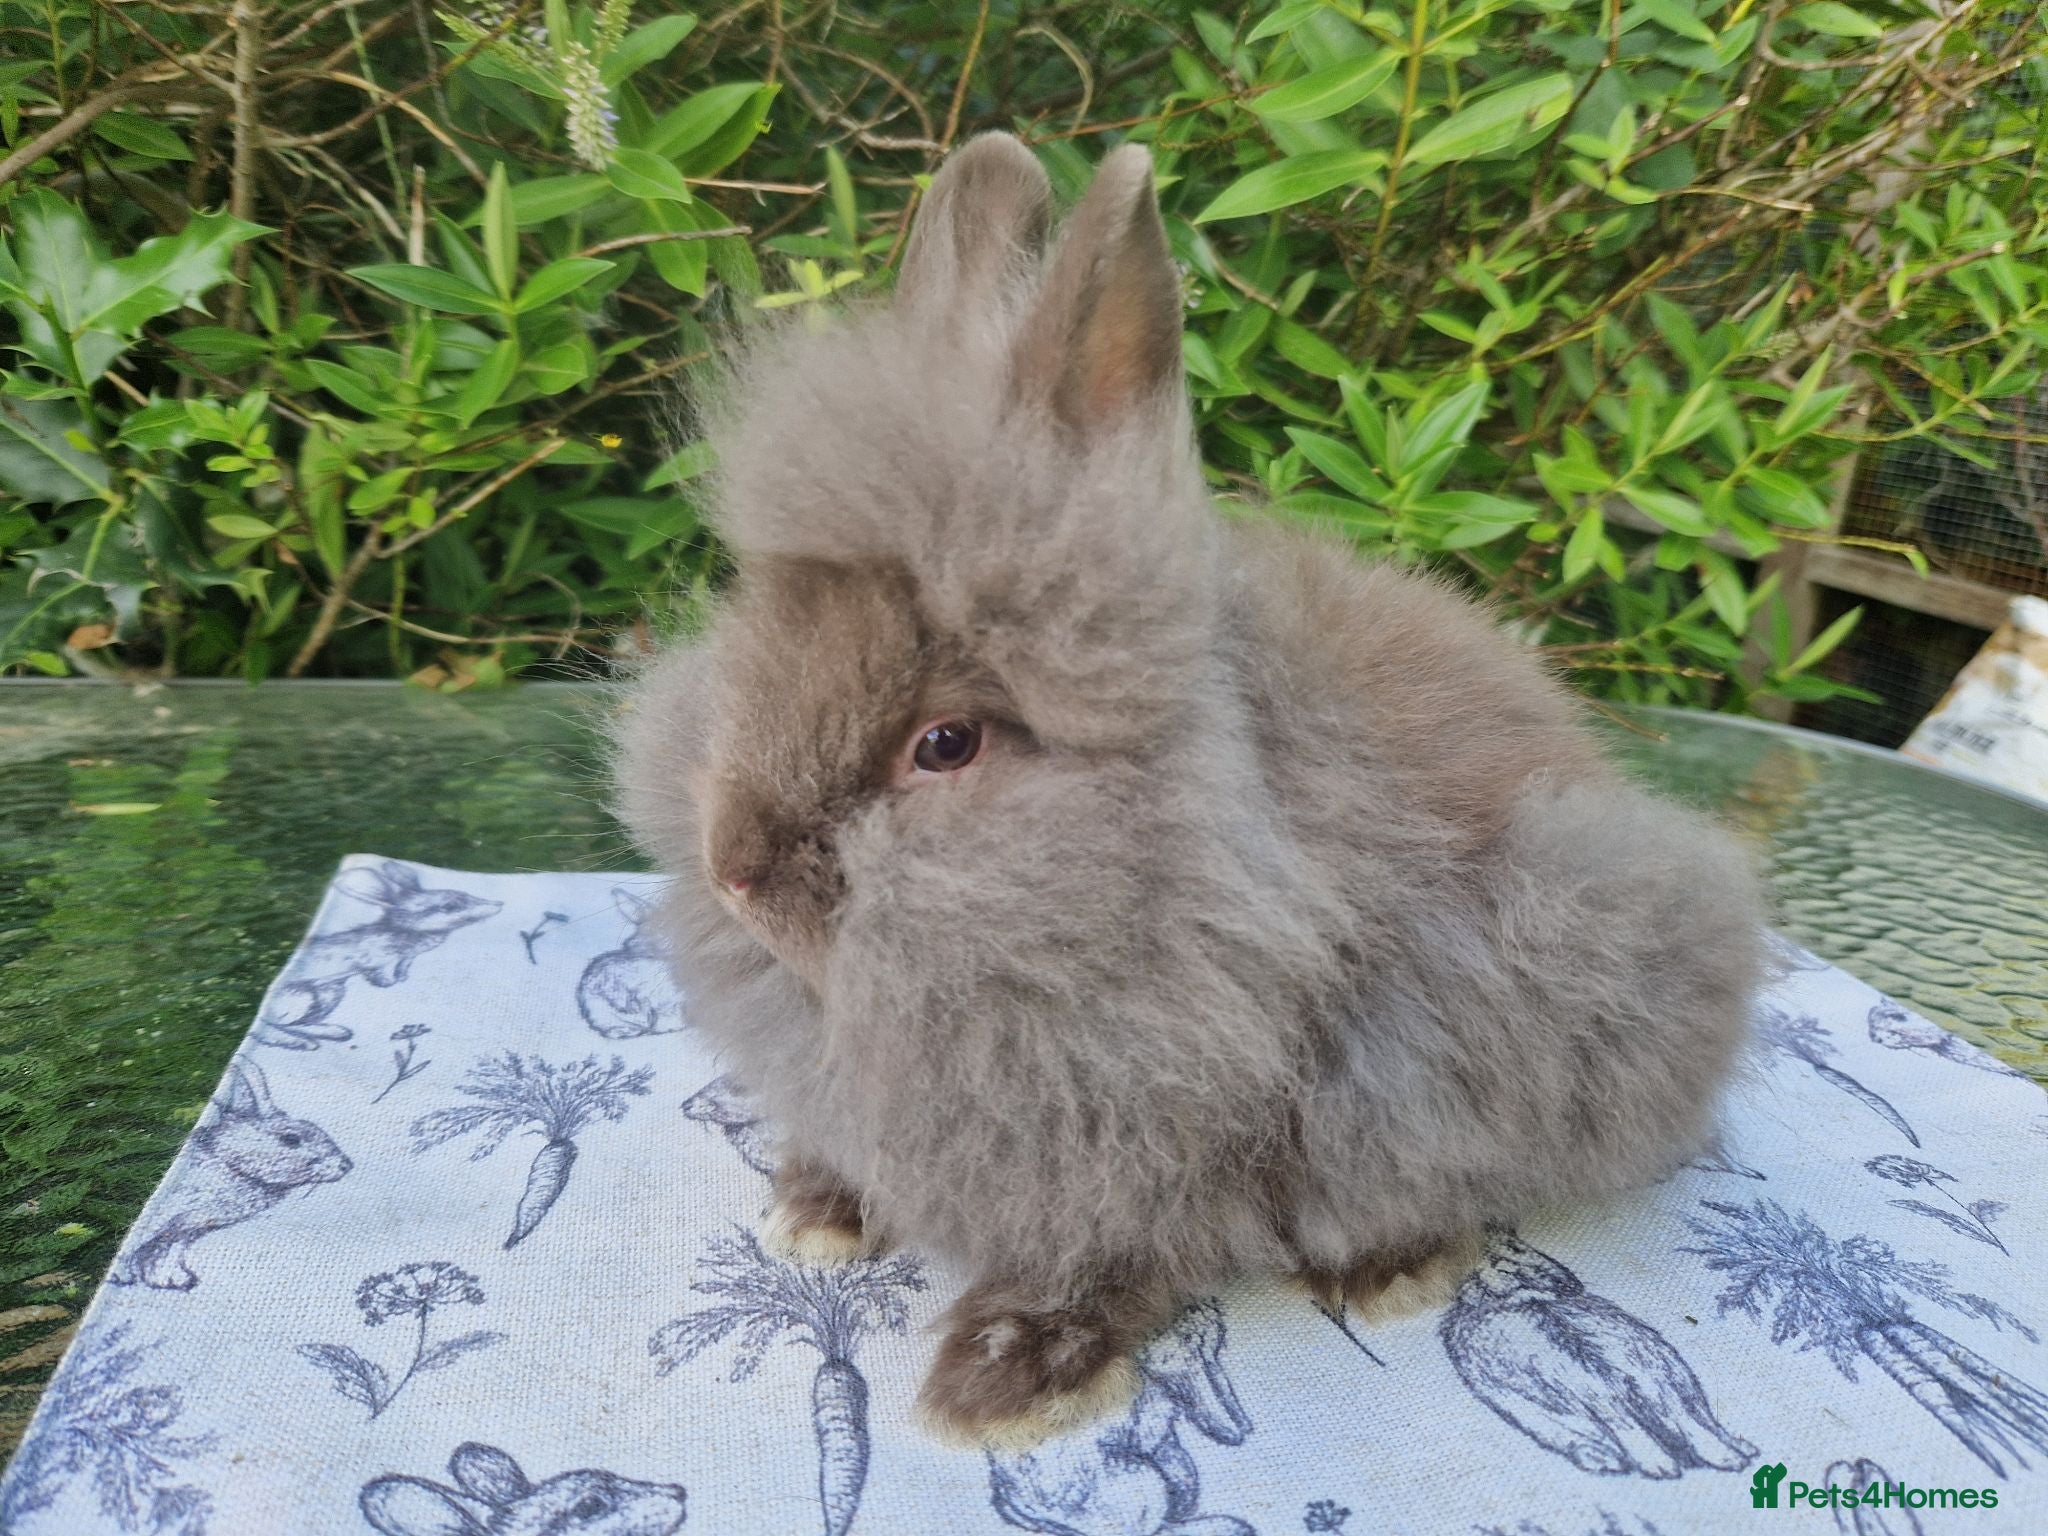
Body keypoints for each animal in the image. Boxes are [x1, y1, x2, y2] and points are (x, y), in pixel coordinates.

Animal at [109, 1059, 351, 1290]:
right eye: (290, 1139)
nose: (346, 1165)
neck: (232, 1164)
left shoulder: (187, 1228)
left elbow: (165, 1253)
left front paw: (172, 1281)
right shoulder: (171, 1217)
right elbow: (137, 1246)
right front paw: (122, 1277)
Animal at [257, 860, 501, 1049]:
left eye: (466, 894)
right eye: (450, 906)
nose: (498, 904)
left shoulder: (406, 958)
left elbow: (403, 966)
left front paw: (402, 978)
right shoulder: (377, 962)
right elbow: (381, 975)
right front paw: (390, 983)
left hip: (330, 995)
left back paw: (334, 1032)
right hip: (303, 999)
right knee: (275, 1025)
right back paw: (308, 1042)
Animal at [612, 131, 1767, 1446]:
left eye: (945, 745)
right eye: (758, 639)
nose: (733, 868)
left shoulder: (1168, 1134)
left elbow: (1109, 1259)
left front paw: (1001, 1383)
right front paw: (812, 1215)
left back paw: (1386, 1270)